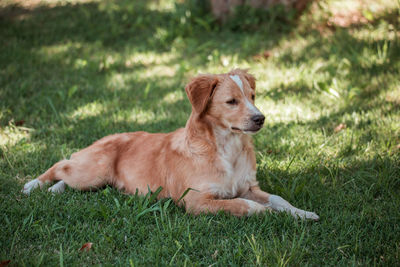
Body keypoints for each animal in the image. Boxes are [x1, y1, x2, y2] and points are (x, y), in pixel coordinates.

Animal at [24, 69, 318, 220]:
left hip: (94, 180)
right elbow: (243, 205)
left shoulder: (248, 186)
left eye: (253, 96)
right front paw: (267, 212)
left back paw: (55, 190)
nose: (260, 118)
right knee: (61, 164)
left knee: (67, 175)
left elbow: (277, 198)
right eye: (232, 101)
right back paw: (33, 185)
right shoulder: (196, 201)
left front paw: (301, 213)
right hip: (93, 171)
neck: (226, 148)